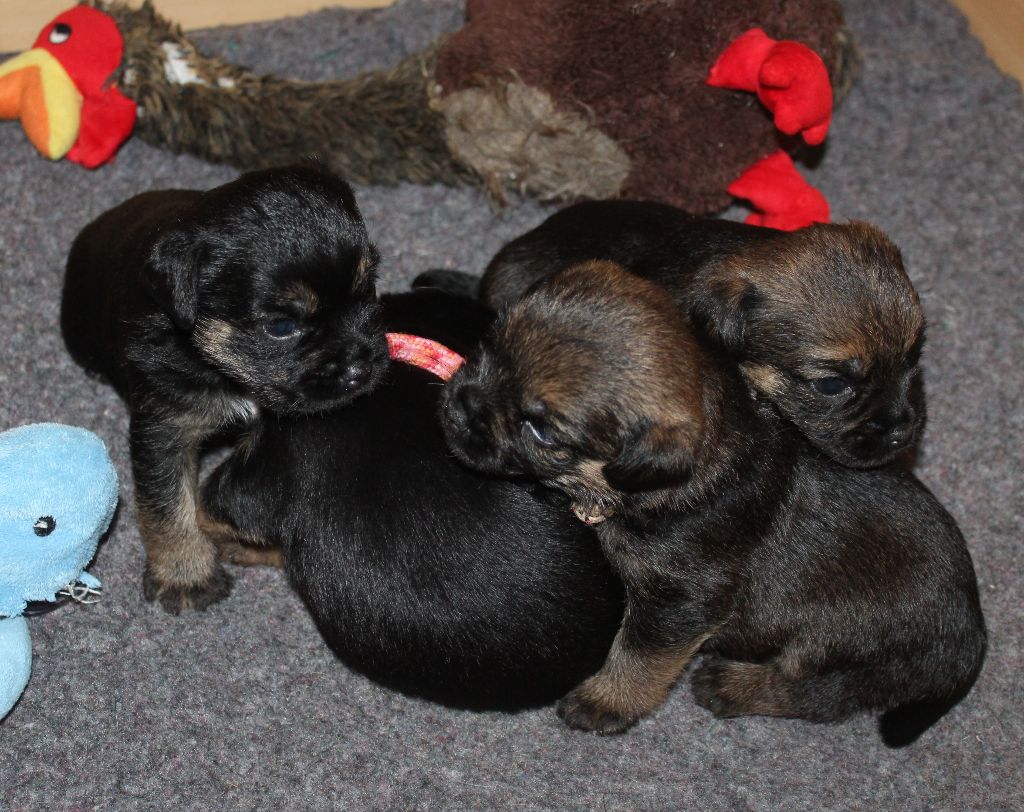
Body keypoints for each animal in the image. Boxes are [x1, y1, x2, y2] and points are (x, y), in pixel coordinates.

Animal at [60, 162, 387, 606]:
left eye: (367, 288)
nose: (360, 370)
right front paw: (185, 572)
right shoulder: (166, 424)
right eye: (281, 327)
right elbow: (166, 502)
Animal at [440, 261, 983, 749]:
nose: (459, 407)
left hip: (840, 645)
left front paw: (605, 701)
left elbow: (639, 657)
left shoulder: (680, 603)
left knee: (820, 695)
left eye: (541, 431)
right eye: (487, 346)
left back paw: (732, 686)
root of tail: (971, 634)